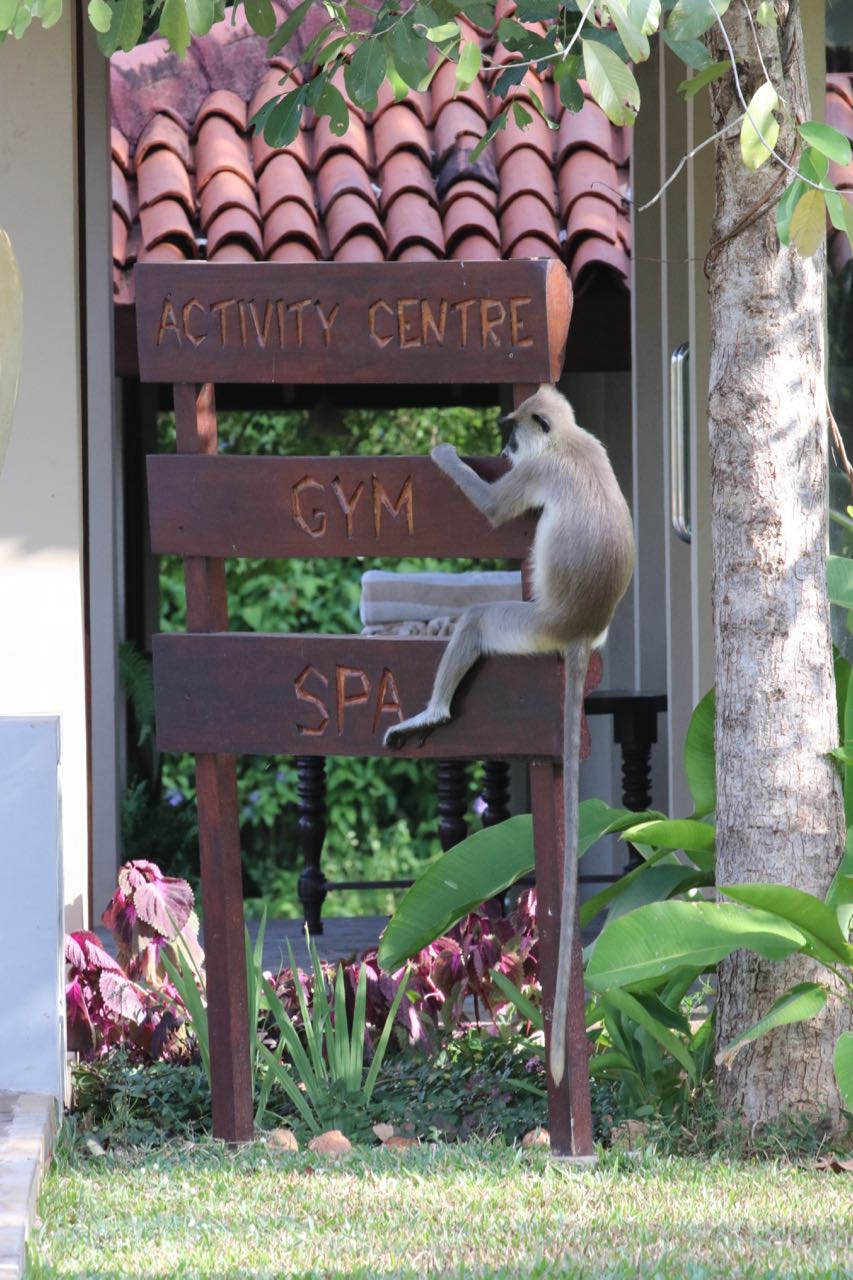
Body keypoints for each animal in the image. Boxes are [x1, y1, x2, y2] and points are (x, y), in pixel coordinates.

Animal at [384, 385, 635, 1093]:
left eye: (513, 433)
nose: (500, 444)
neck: (569, 442)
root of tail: (579, 631)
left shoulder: (537, 473)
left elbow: (497, 513)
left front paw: (443, 454)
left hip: (529, 626)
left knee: (477, 618)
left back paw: (432, 714)